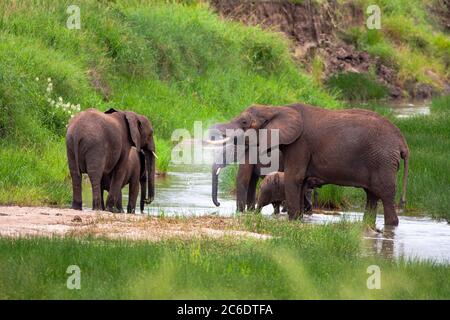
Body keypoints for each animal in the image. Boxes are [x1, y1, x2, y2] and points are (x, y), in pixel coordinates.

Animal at [207, 104, 408, 226]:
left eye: (244, 122)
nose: (218, 204)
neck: (275, 108)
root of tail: (402, 143)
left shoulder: (300, 144)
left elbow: (292, 178)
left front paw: (292, 220)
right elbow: (299, 181)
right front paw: (298, 219)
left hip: (383, 161)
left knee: (385, 194)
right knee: (371, 195)